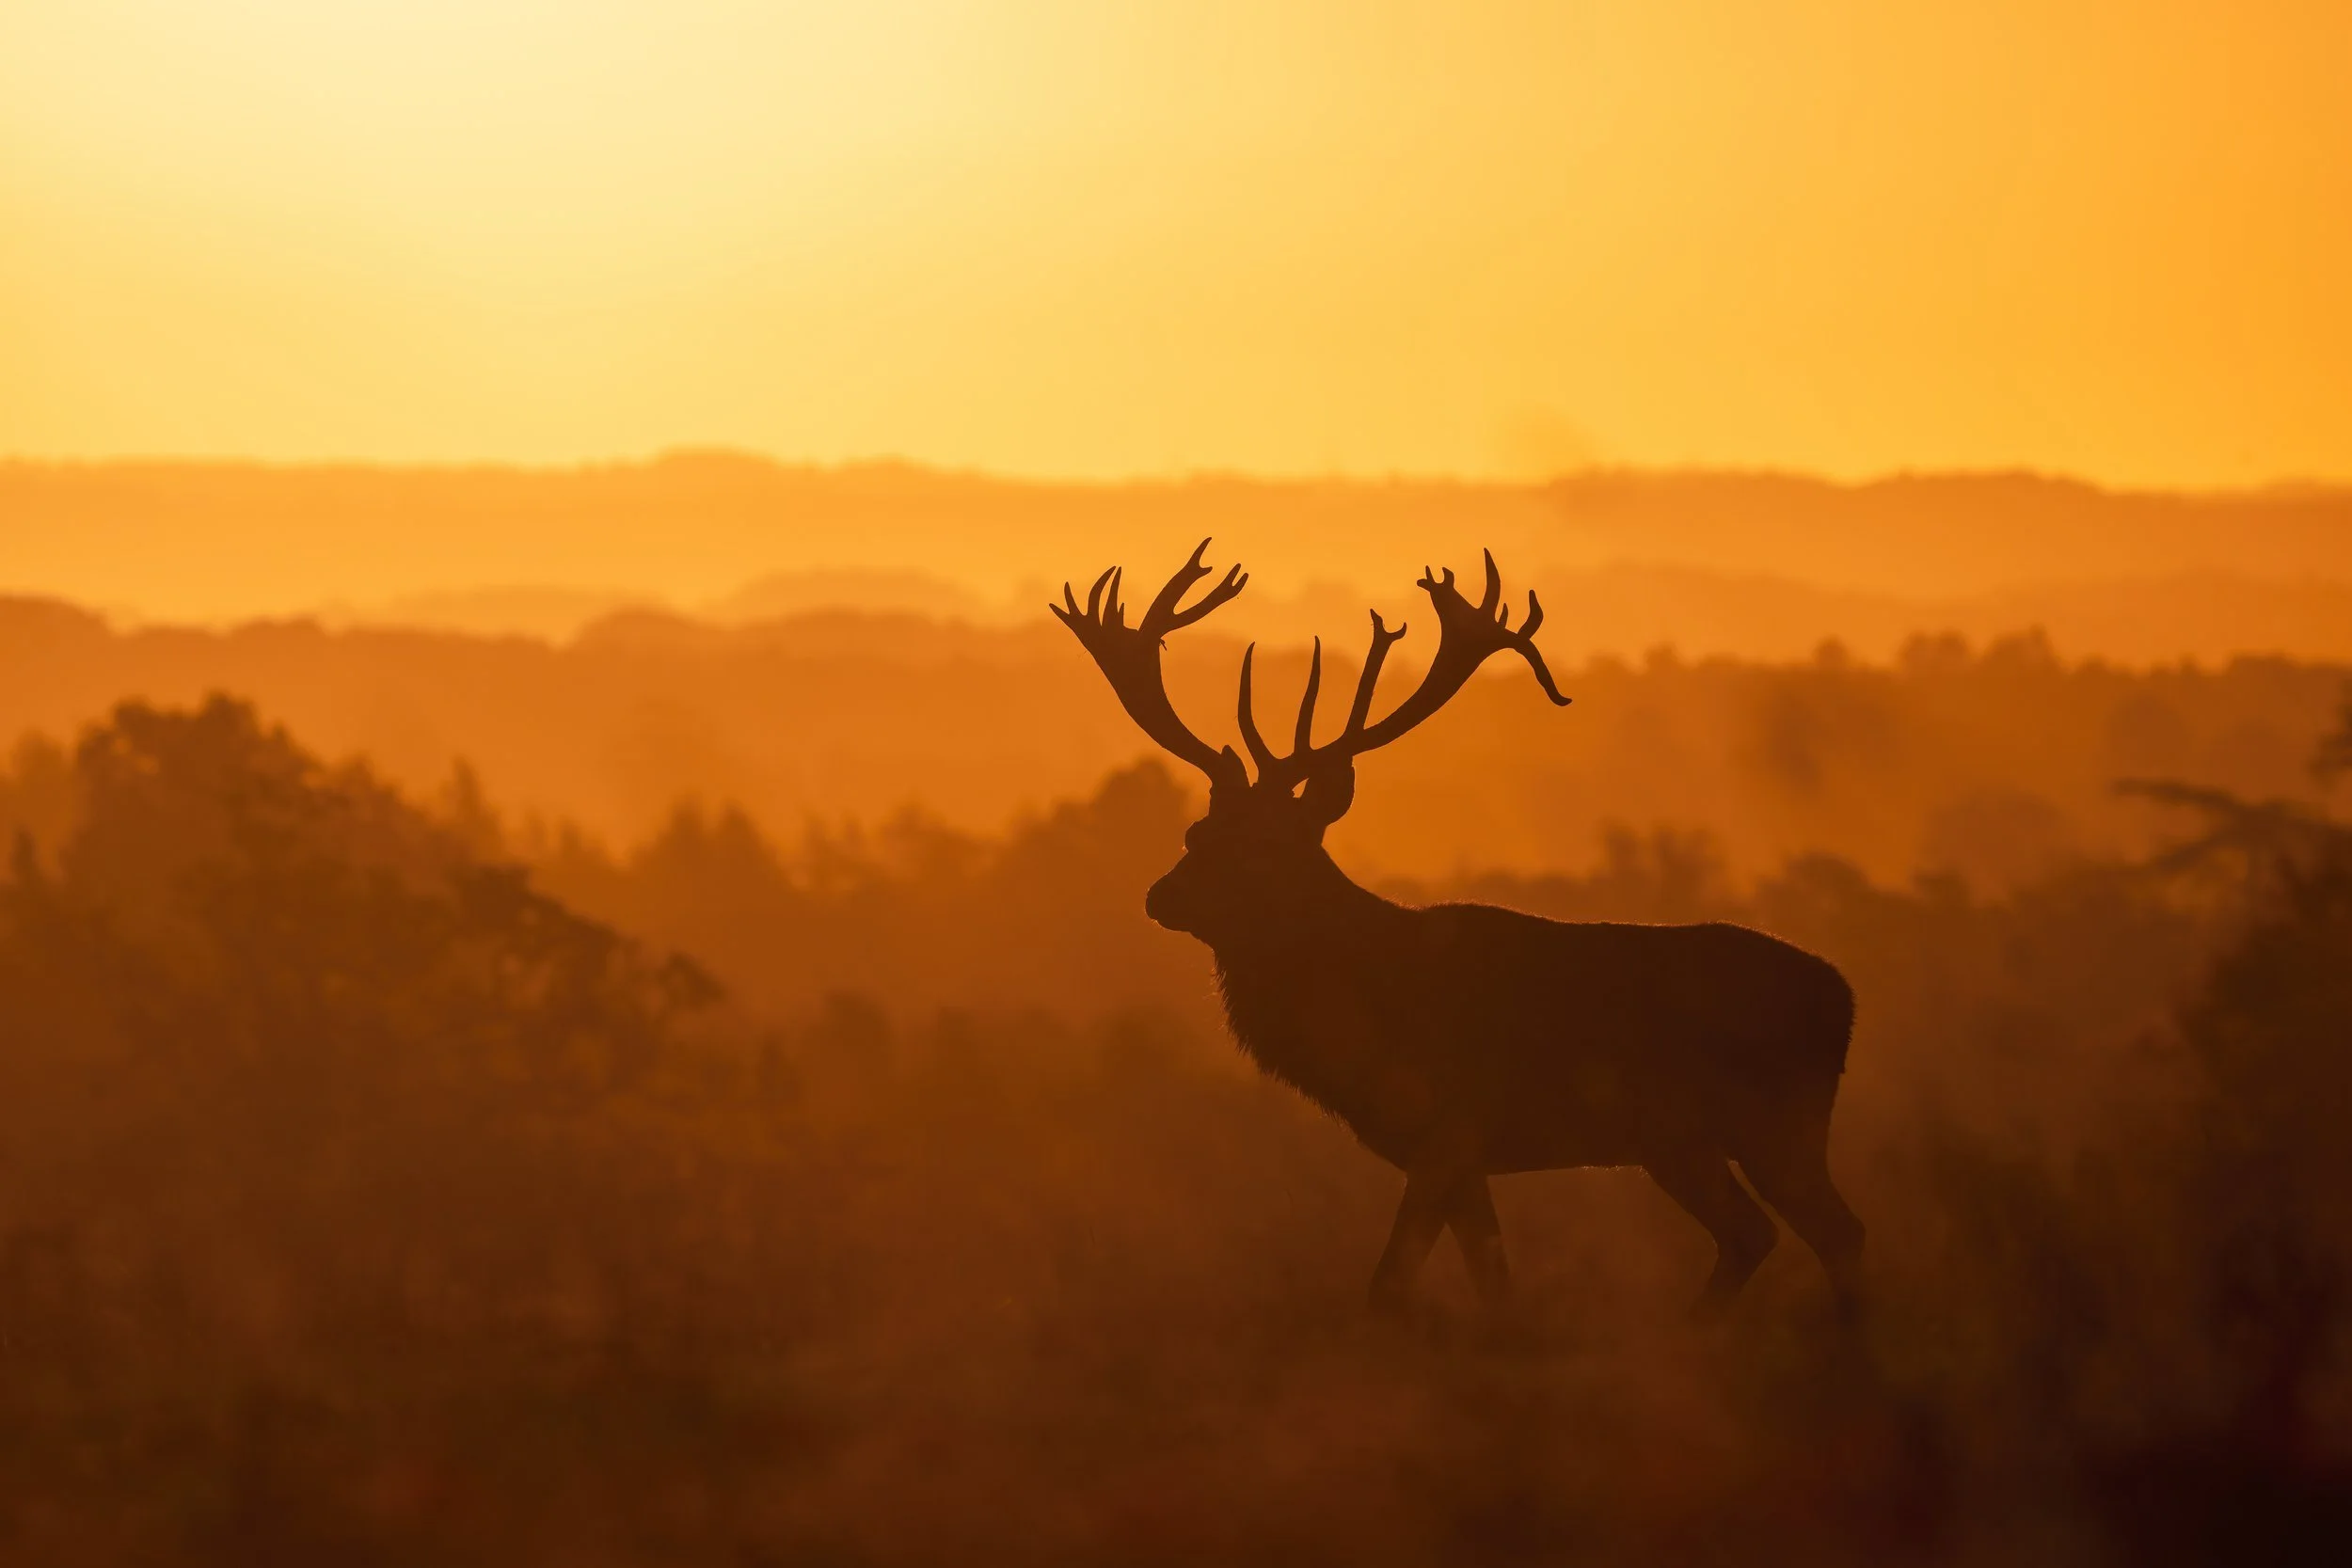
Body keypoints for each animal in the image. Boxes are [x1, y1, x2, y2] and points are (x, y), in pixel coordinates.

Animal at [1053, 540, 1863, 1319]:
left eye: (1268, 847)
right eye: (1197, 832)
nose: (1161, 895)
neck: (1366, 1020)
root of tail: (1845, 998)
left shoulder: (1449, 1128)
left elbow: (1388, 1286)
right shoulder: (1460, 1157)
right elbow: (1492, 1283)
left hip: (1764, 1124)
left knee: (1828, 1231)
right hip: (1693, 1139)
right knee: (1767, 1232)